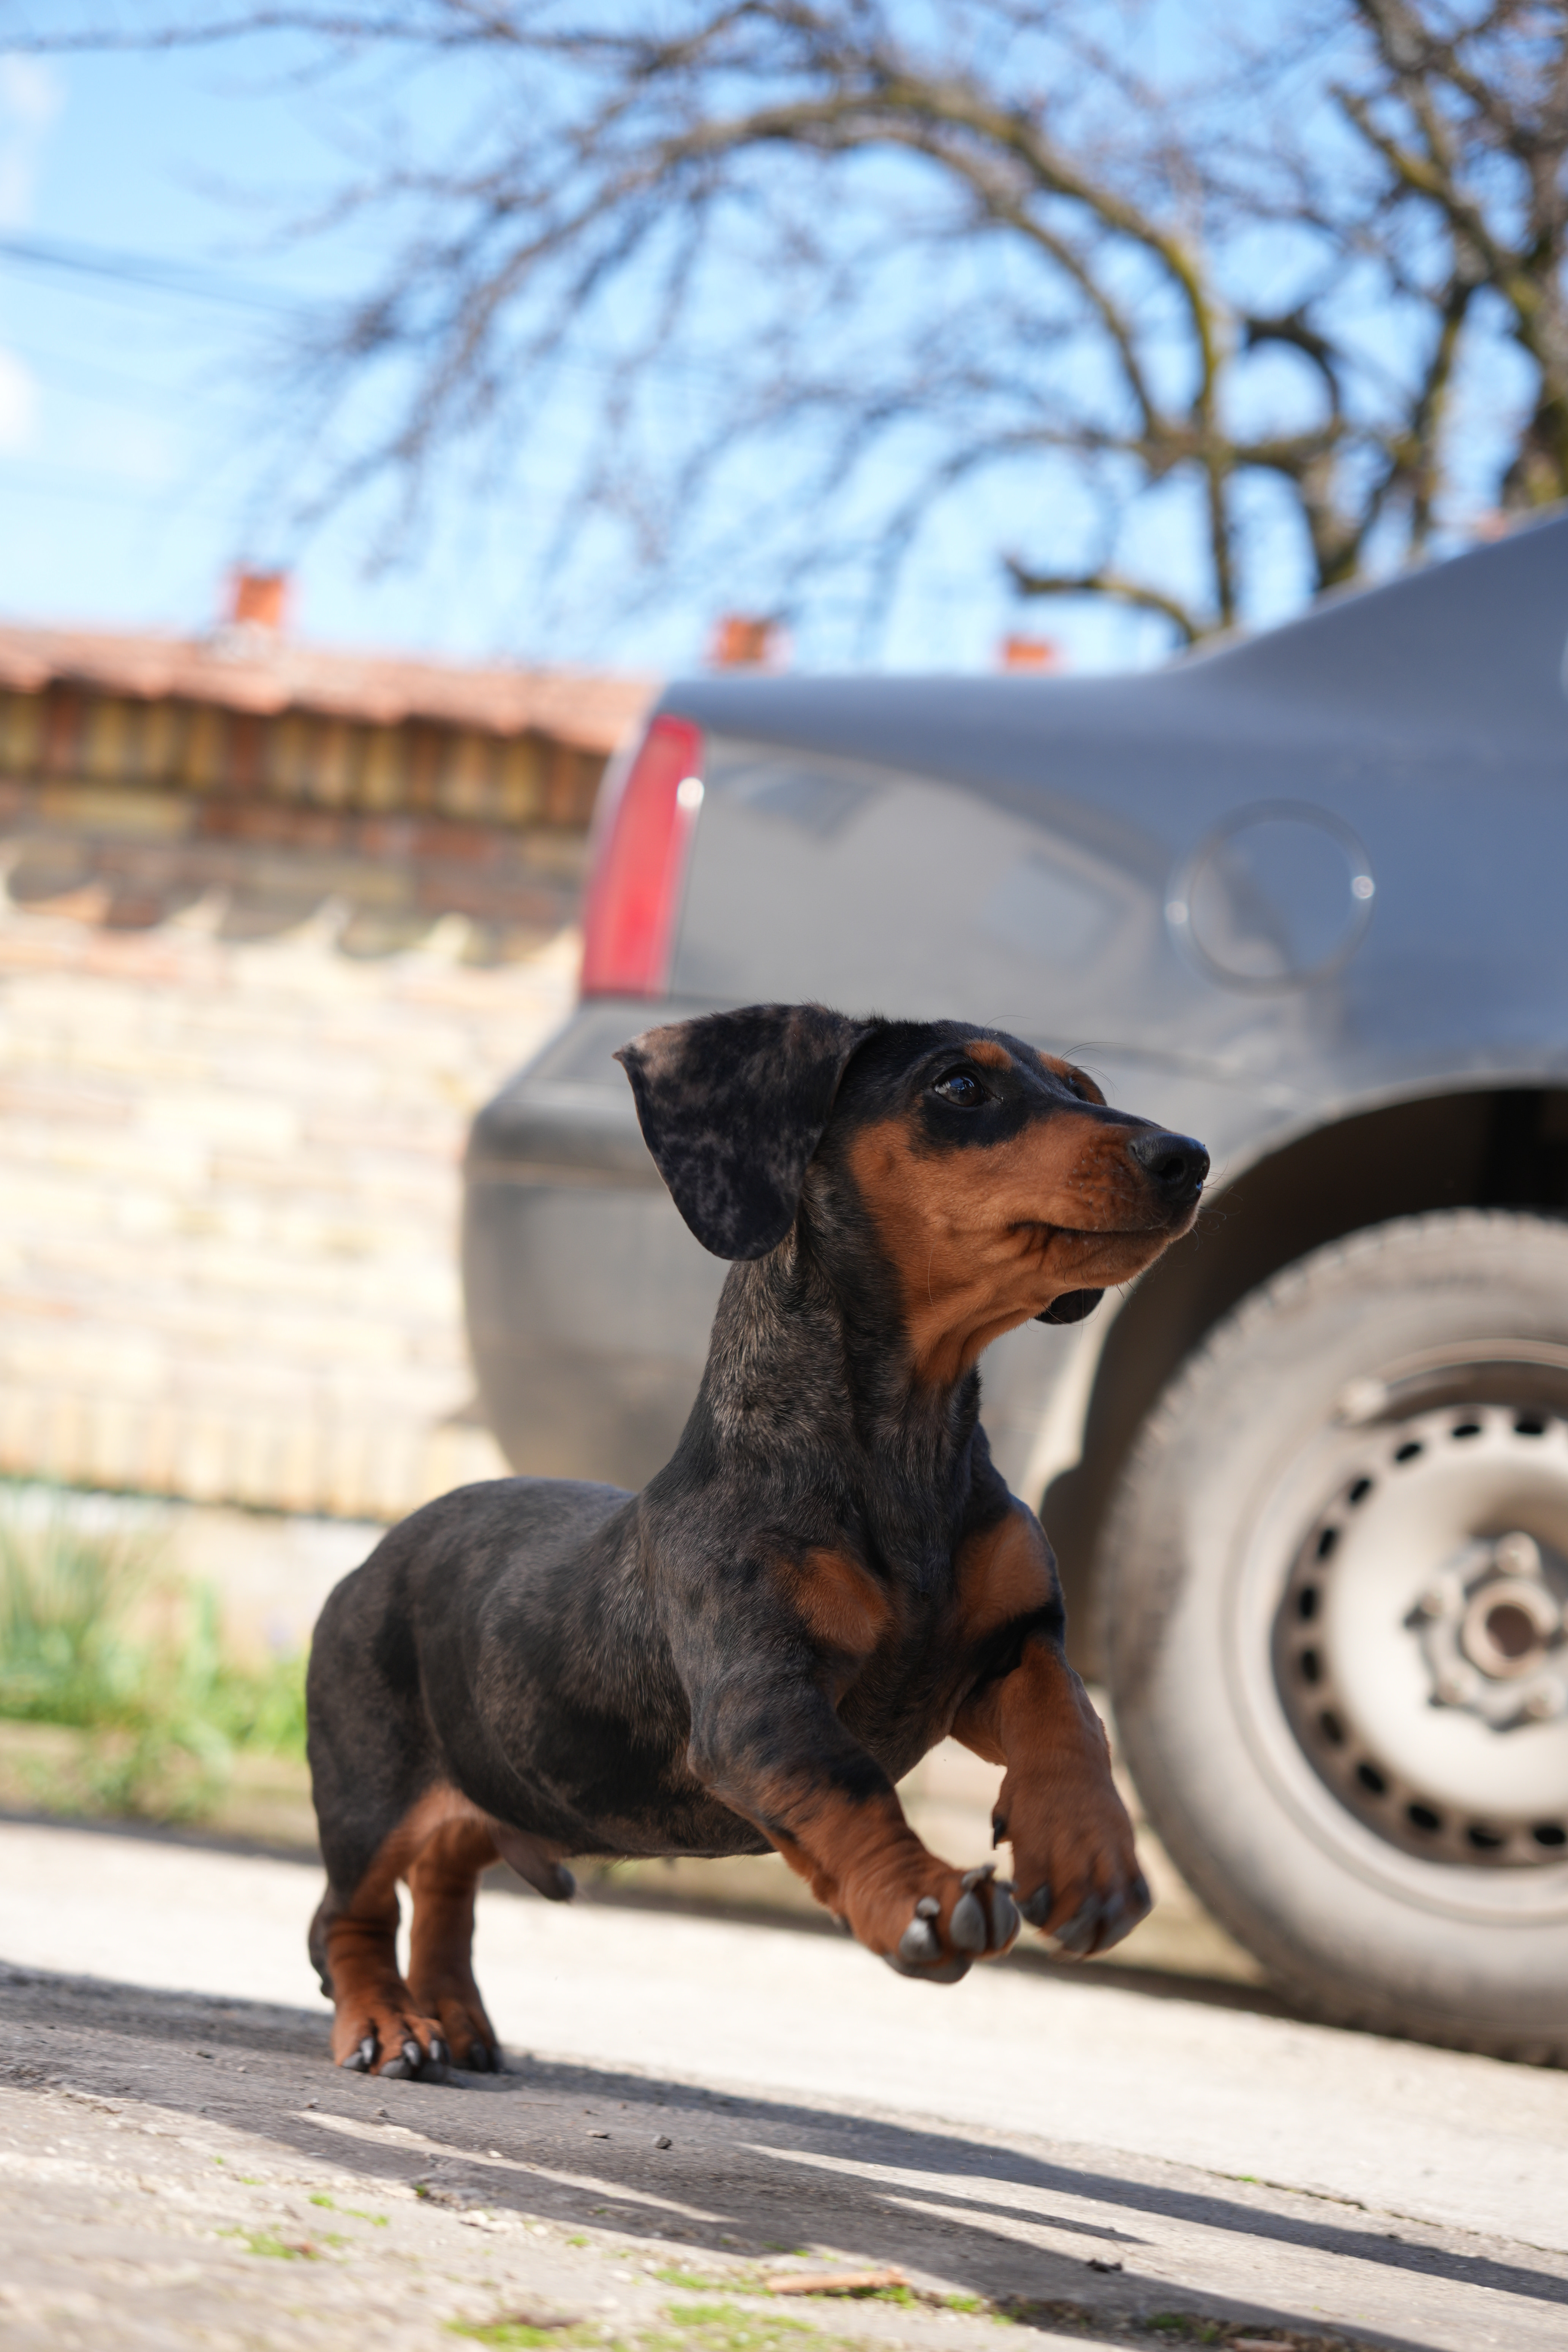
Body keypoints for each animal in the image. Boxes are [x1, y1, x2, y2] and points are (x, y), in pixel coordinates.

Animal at [306, 1004, 1208, 2077]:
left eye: (1081, 1087)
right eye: (958, 1087)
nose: (1187, 1157)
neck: (900, 1450)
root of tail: (375, 1552)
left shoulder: (1005, 1650)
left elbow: (1068, 1719)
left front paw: (1084, 1852)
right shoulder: (758, 1700)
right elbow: (847, 1785)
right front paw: (922, 1898)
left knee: (446, 1880)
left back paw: (455, 2015)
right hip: (370, 1789)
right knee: (345, 1915)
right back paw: (388, 2023)